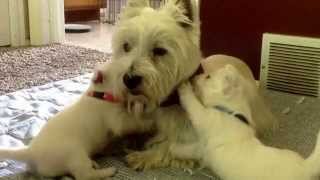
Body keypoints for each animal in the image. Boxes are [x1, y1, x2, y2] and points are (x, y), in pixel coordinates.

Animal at [0, 62, 153, 180]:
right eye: (121, 73)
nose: (135, 76)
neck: (99, 94)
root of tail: (31, 151)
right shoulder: (116, 121)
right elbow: (133, 122)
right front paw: (148, 120)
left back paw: (94, 163)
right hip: (76, 154)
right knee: (84, 175)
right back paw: (108, 171)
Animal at [171, 64, 320, 180]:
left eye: (208, 76)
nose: (193, 78)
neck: (230, 109)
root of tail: (305, 167)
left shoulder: (204, 117)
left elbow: (192, 104)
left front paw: (183, 86)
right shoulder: (201, 145)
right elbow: (190, 148)